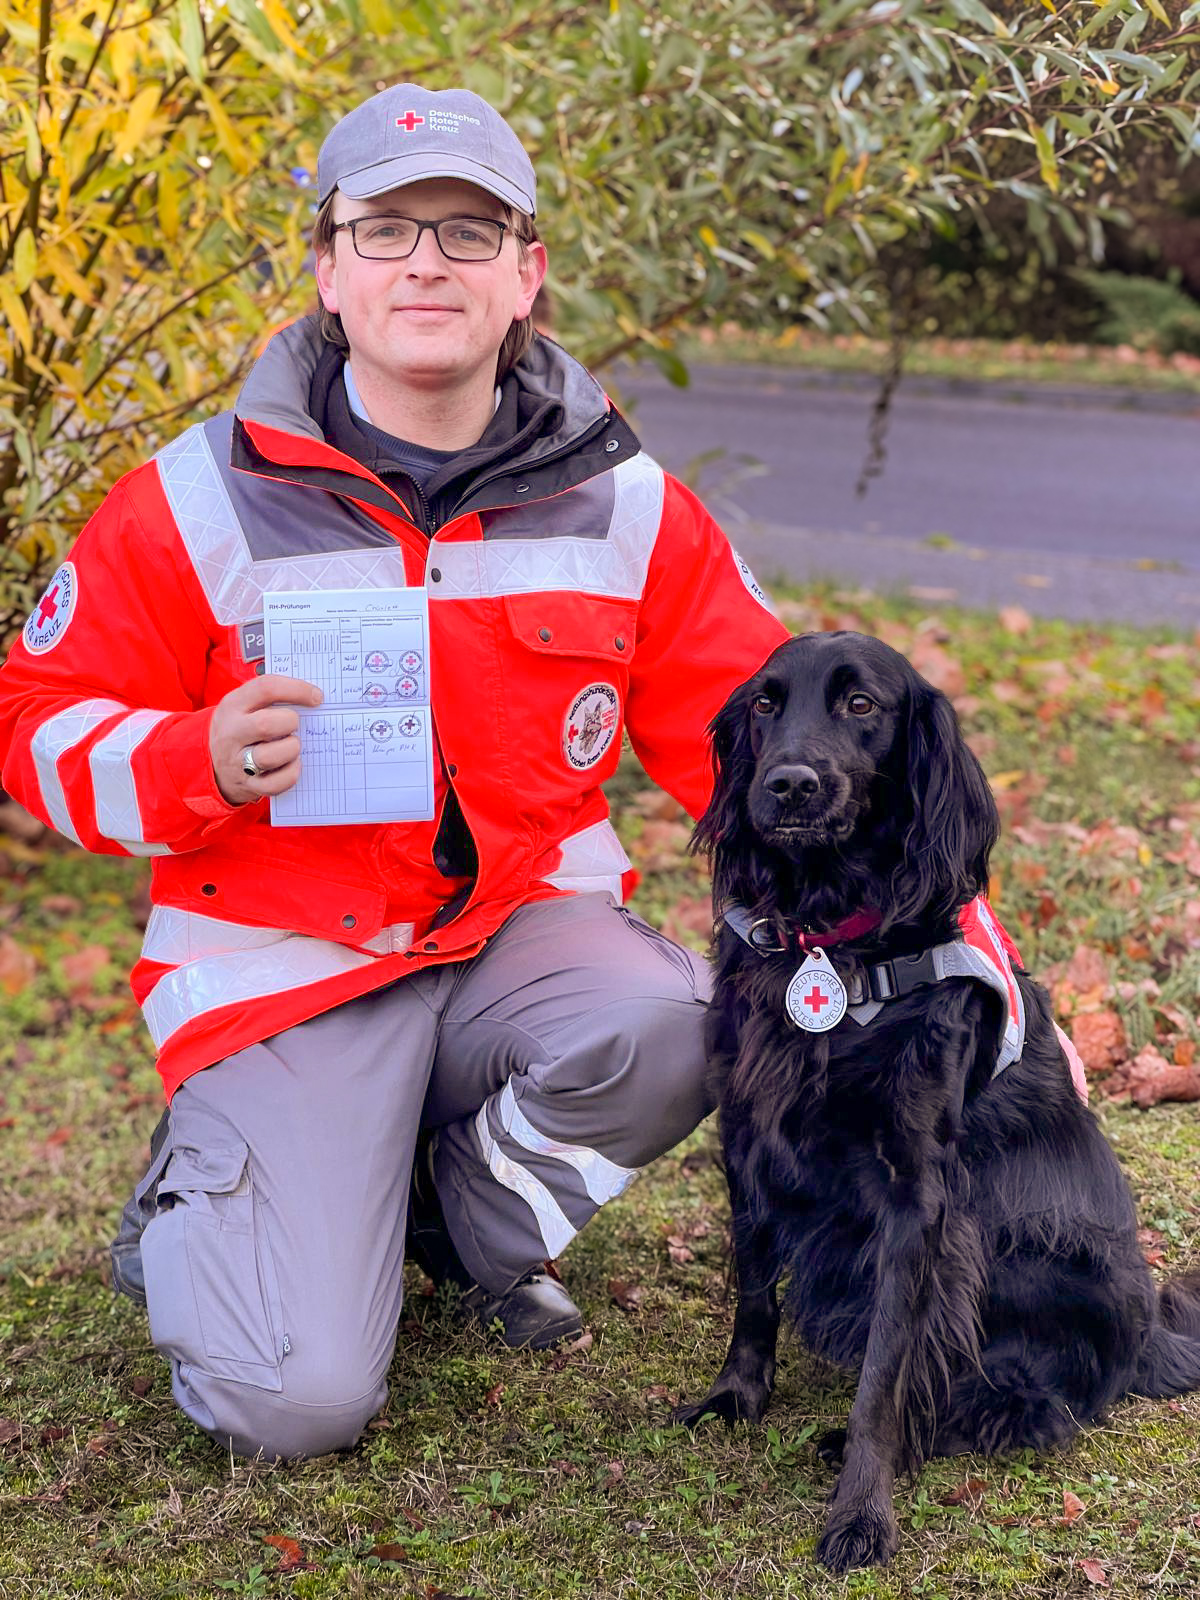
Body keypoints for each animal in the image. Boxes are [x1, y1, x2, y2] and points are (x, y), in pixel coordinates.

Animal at [678, 630, 1200, 1568]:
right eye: (766, 703)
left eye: (860, 705)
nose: (789, 784)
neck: (835, 941)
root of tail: (1150, 1341)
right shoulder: (746, 1133)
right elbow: (752, 1289)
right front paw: (736, 1396)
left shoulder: (917, 1199)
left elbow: (887, 1376)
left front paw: (861, 1512)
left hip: (1034, 1255)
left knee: (1039, 1407)